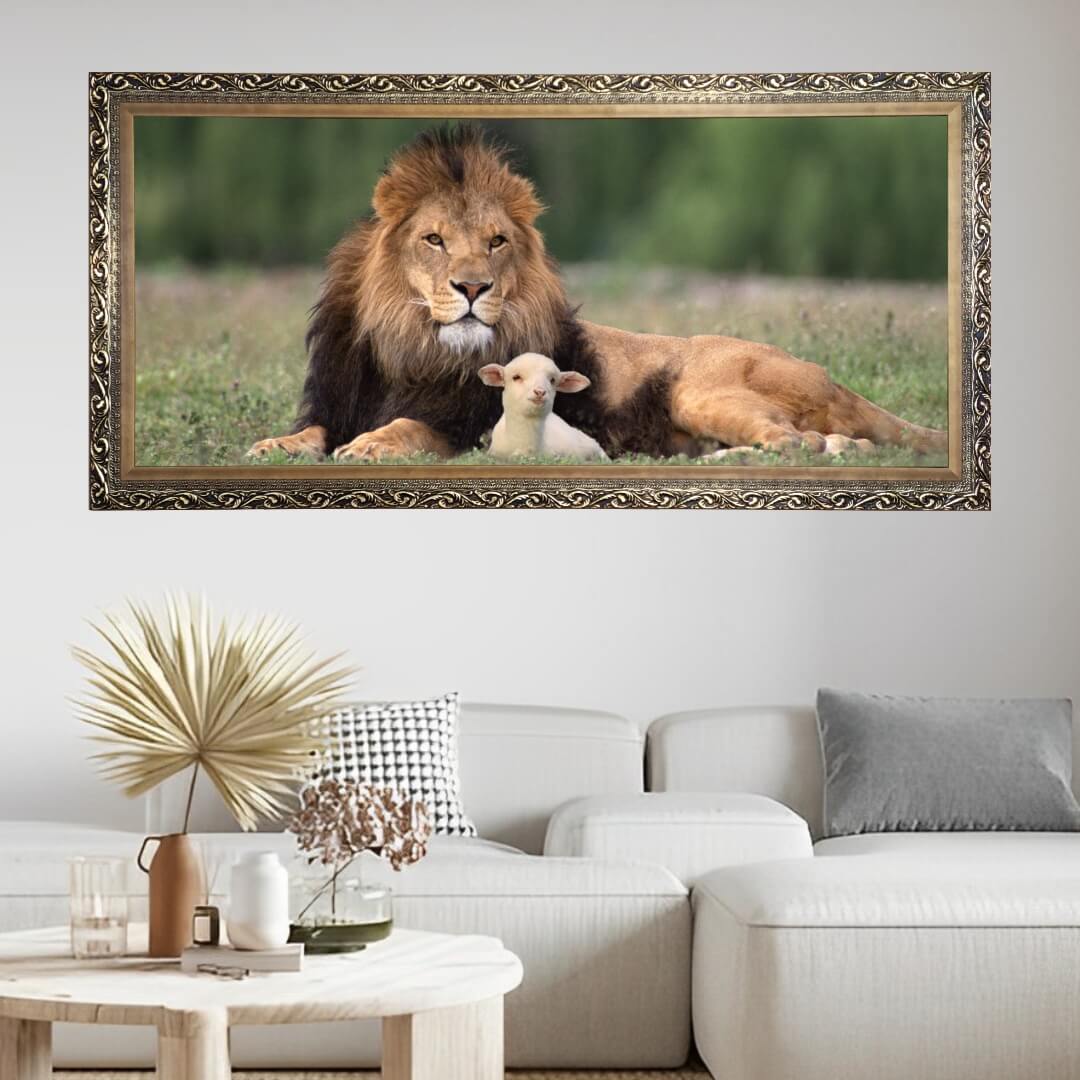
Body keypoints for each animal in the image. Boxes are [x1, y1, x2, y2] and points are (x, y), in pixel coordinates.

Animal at [249, 125, 947, 464]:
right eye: (435, 240)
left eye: (496, 242)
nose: (472, 287)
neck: (412, 347)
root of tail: (828, 375)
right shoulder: (337, 400)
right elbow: (313, 430)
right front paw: (274, 446)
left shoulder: (467, 426)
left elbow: (413, 426)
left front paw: (372, 444)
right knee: (835, 444)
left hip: (703, 388)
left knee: (797, 443)